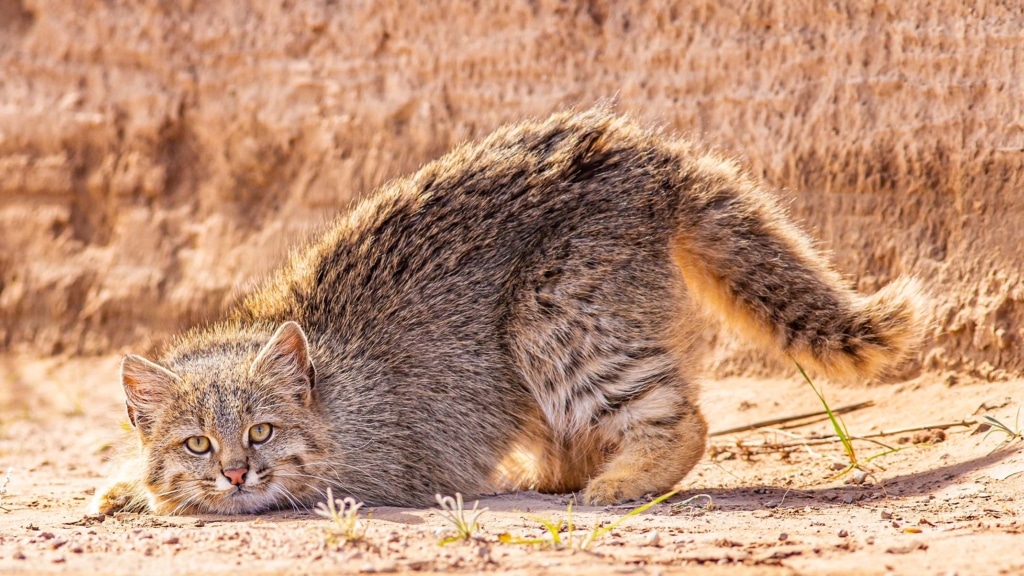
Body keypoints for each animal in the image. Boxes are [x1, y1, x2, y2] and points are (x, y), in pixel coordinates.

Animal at [88, 107, 925, 516]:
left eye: (261, 432)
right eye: (198, 443)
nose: (233, 471)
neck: (329, 390)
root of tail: (654, 154)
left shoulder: (385, 467)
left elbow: (296, 490)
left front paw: (160, 498)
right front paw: (134, 485)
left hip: (549, 313)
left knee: (679, 416)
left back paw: (621, 482)